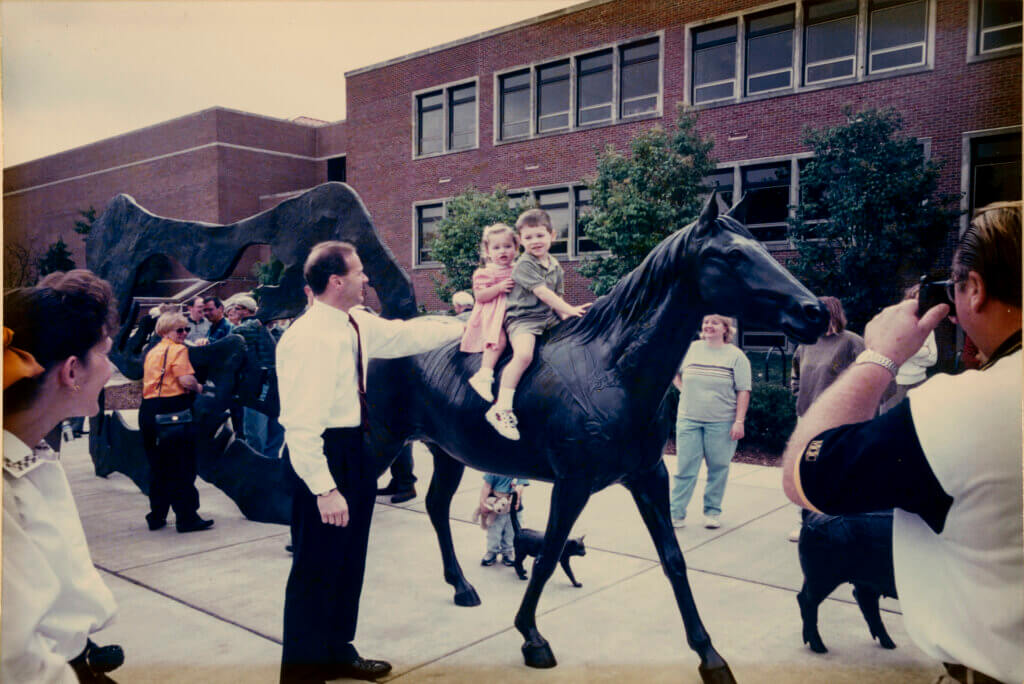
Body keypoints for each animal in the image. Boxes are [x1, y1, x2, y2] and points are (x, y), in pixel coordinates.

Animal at [790, 509, 897, 655]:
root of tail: (809, 515)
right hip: (822, 577)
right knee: (806, 600)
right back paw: (819, 647)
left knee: (864, 600)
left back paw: (890, 644)